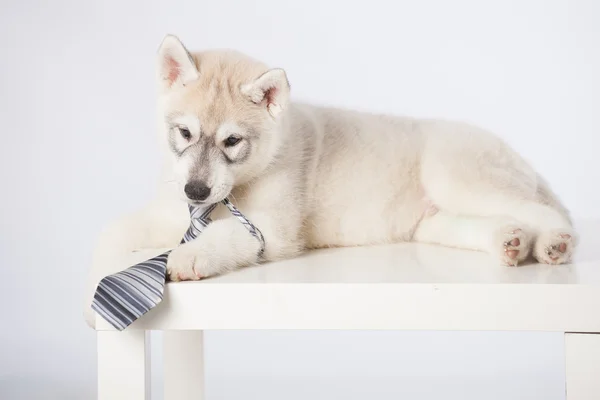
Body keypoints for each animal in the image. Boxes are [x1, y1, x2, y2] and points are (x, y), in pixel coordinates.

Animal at [82, 33, 576, 324]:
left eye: (232, 141)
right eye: (184, 133)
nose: (196, 191)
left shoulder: (270, 231)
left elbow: (221, 234)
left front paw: (189, 255)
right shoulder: (166, 214)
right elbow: (112, 233)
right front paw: (92, 291)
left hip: (456, 176)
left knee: (544, 211)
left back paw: (552, 243)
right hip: (436, 221)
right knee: (490, 224)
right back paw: (509, 242)